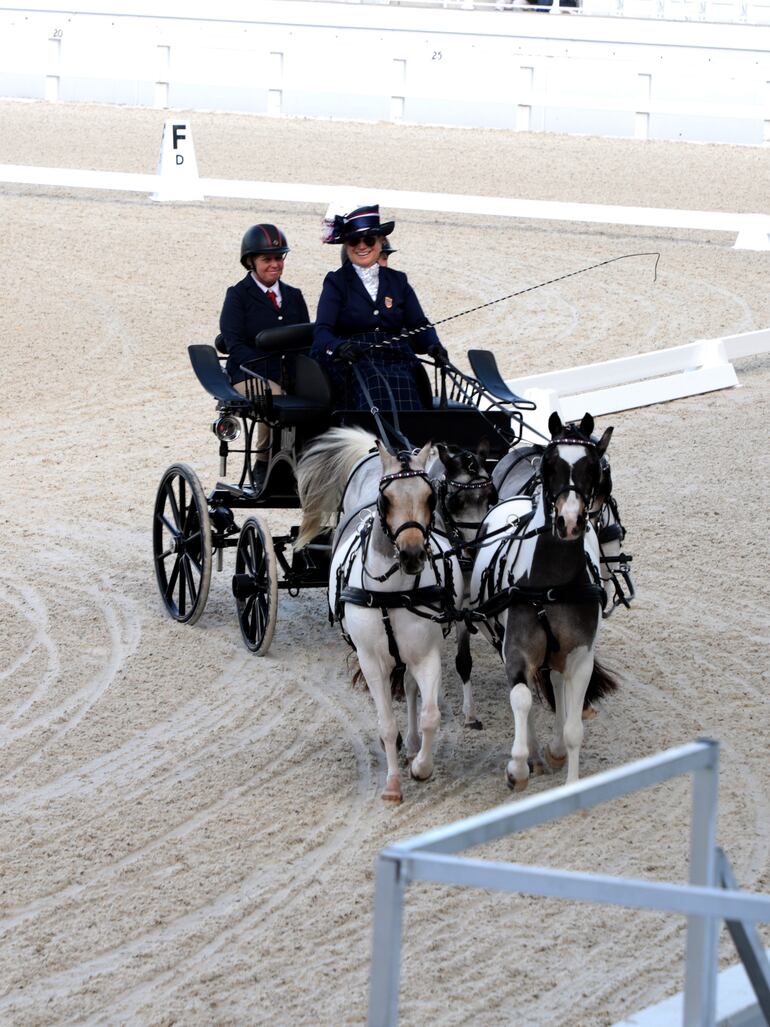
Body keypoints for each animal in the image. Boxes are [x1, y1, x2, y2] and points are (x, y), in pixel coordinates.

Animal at [470, 412, 620, 788]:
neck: (550, 587)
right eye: (549, 465)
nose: (569, 521)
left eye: (593, 467)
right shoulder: (515, 651)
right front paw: (519, 766)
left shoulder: (580, 656)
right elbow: (522, 699)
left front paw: (567, 774)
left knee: (554, 681)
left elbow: (573, 728)